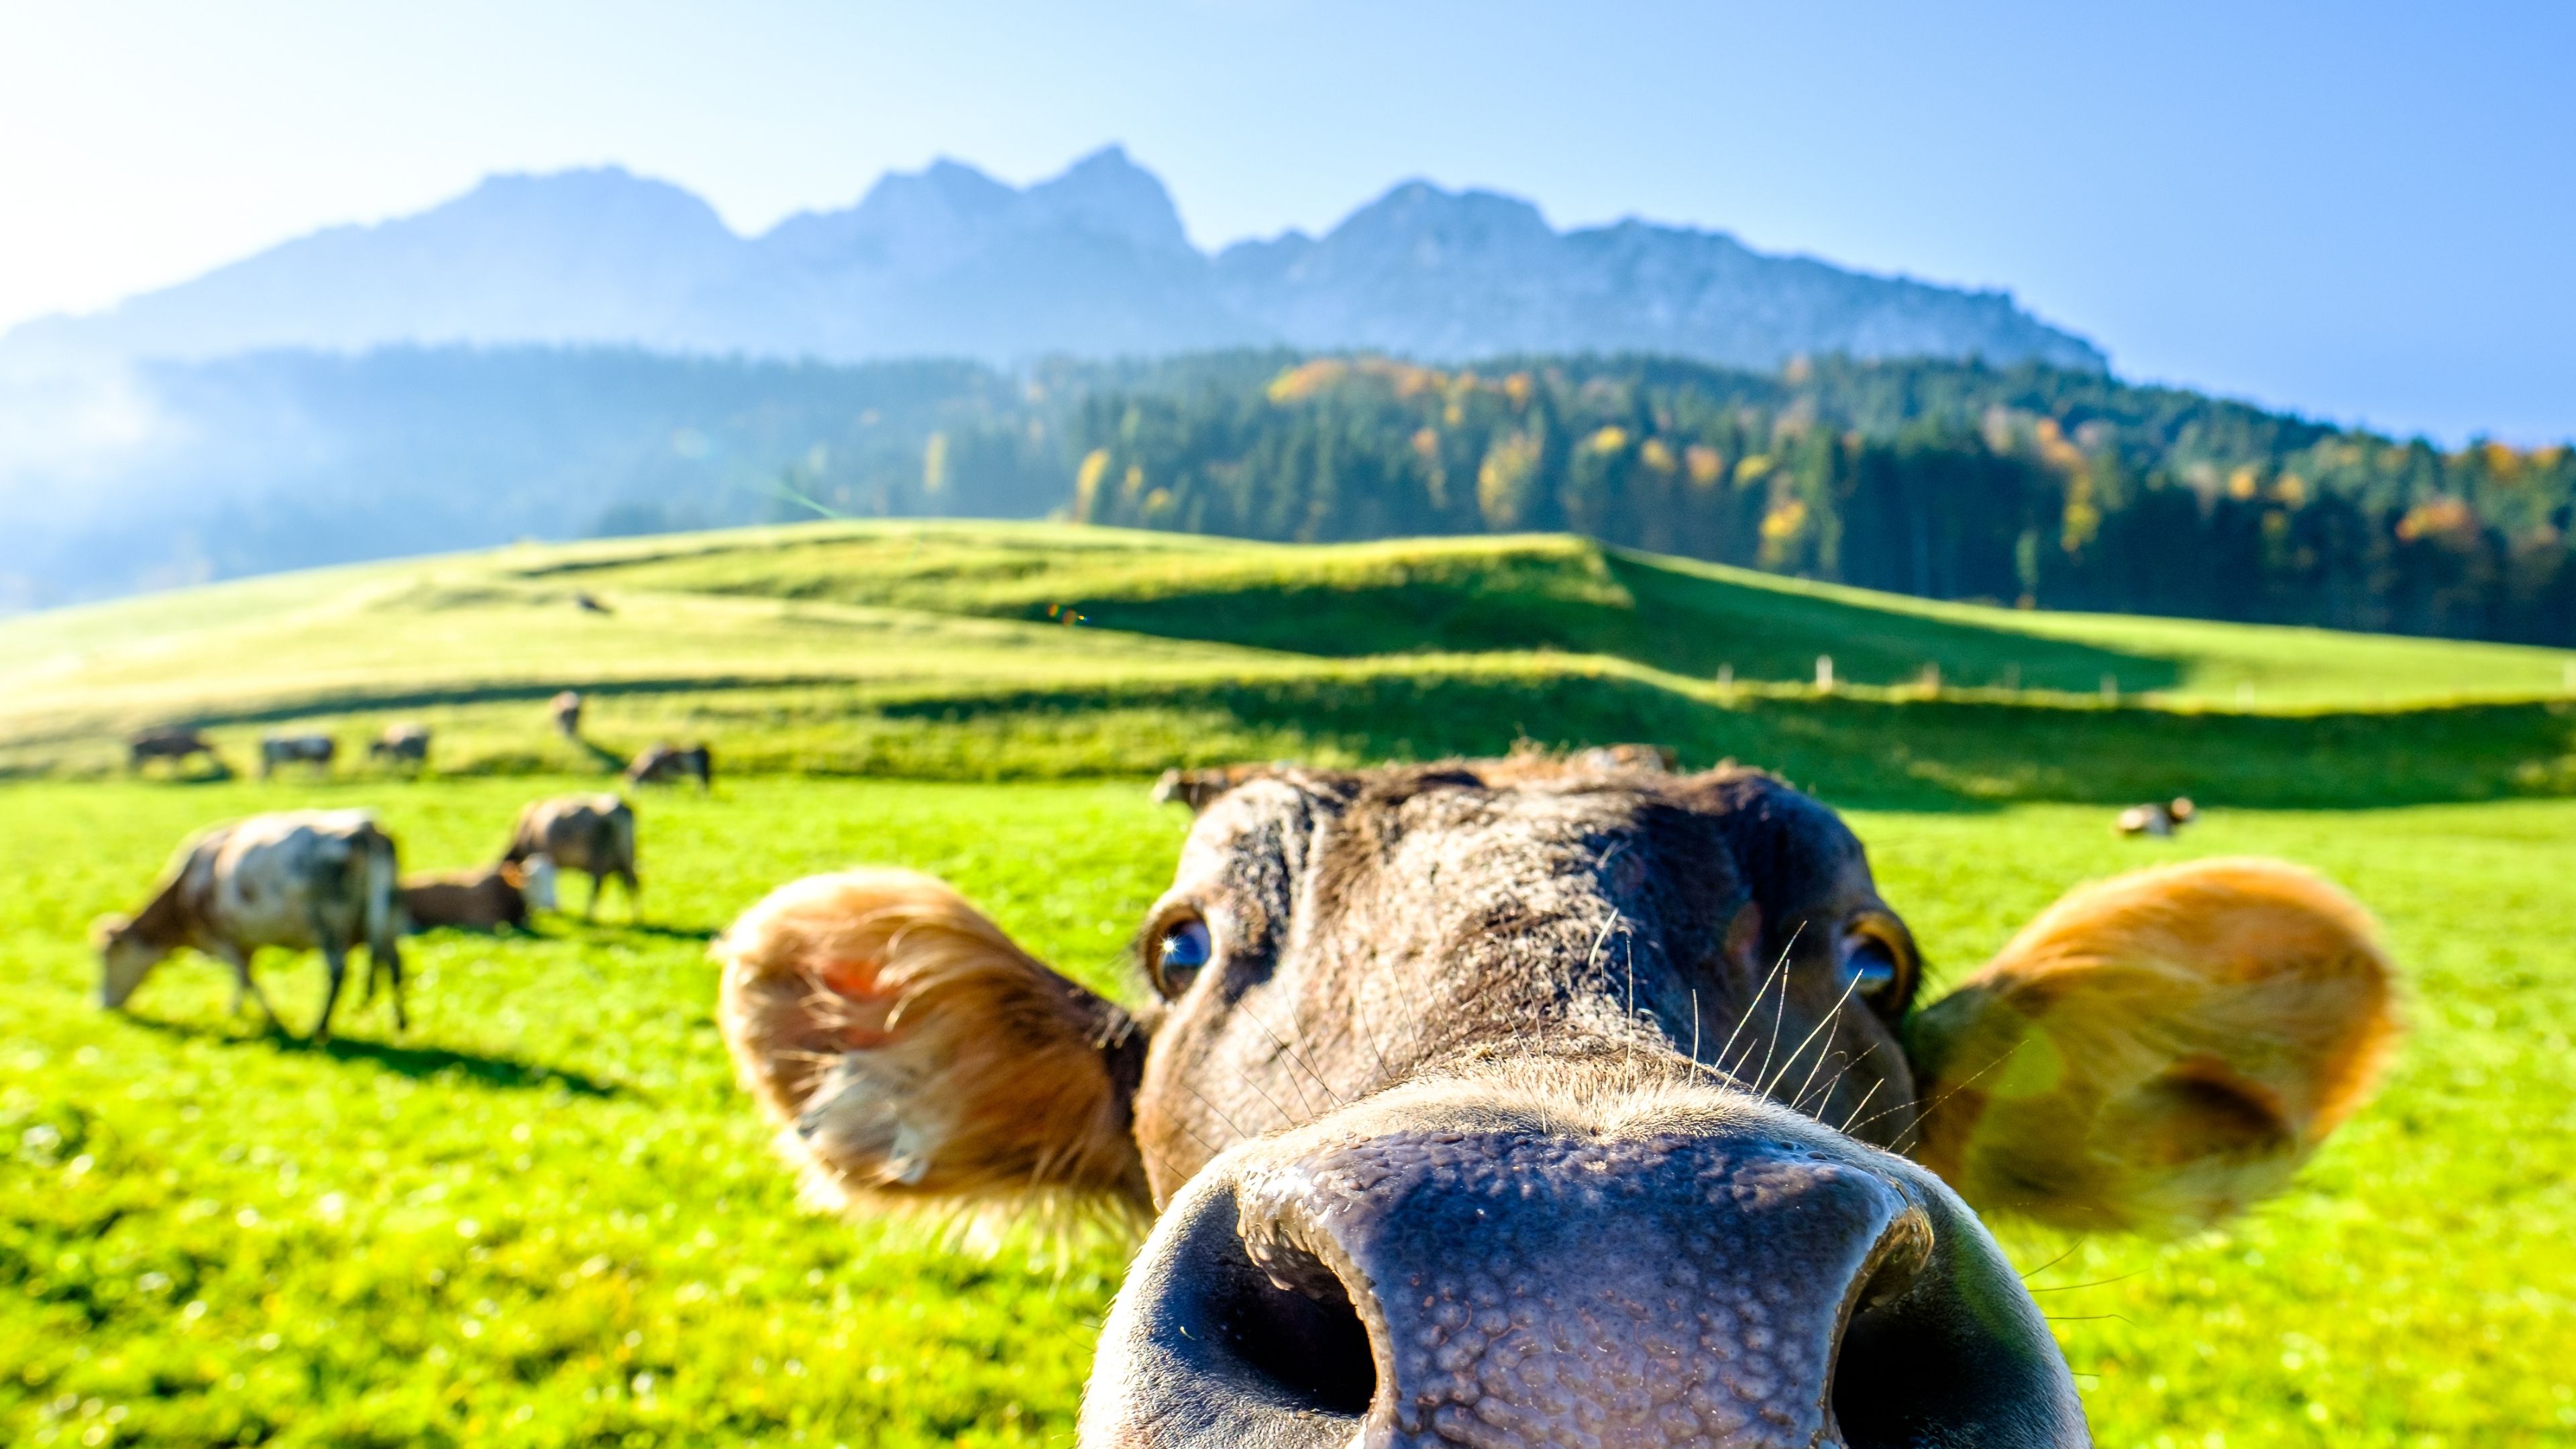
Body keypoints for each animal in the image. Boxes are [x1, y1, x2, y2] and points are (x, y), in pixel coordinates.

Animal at [95, 809, 405, 1041]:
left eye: (109, 955)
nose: (101, 1003)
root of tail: (365, 828)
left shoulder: (220, 938)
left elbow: (247, 978)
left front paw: (273, 1019)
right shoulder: (243, 942)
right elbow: (242, 978)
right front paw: (236, 1010)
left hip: (329, 922)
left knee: (338, 971)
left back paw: (320, 1028)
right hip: (385, 915)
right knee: (394, 962)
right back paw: (400, 1023)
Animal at [128, 727, 222, 775]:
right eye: (213, 751)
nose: (218, 764)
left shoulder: (178, 755)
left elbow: (180, 764)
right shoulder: (176, 754)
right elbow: (176, 765)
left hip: (143, 755)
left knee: (137, 763)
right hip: (141, 754)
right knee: (134, 763)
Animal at [502, 794, 637, 920]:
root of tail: (620, 806)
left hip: (599, 858)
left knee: (597, 886)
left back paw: (588, 915)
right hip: (626, 858)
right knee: (632, 883)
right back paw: (634, 917)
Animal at [625, 742, 713, 792]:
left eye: (633, 783)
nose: (633, 794)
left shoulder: (665, 775)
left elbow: (667, 788)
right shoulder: (661, 777)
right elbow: (663, 786)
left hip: (700, 772)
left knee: (703, 783)